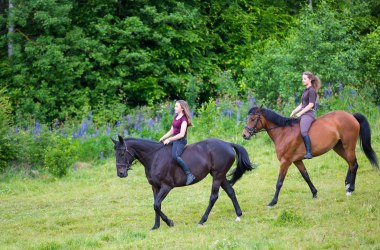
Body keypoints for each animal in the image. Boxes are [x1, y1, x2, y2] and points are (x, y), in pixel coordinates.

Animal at [112, 136, 252, 229]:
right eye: (115, 154)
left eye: (122, 153)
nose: (120, 174)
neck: (155, 157)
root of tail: (228, 144)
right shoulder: (155, 187)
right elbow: (156, 205)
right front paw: (156, 225)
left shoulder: (166, 186)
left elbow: (156, 205)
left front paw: (169, 222)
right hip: (220, 176)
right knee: (230, 191)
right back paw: (238, 214)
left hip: (217, 176)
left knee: (213, 197)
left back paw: (202, 220)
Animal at [242, 106, 378, 206]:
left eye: (253, 119)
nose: (244, 135)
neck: (283, 132)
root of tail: (351, 116)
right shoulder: (297, 160)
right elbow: (306, 176)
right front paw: (314, 193)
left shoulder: (285, 161)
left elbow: (279, 182)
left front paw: (273, 202)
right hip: (338, 147)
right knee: (351, 163)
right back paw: (347, 184)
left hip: (348, 146)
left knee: (353, 164)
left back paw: (350, 189)